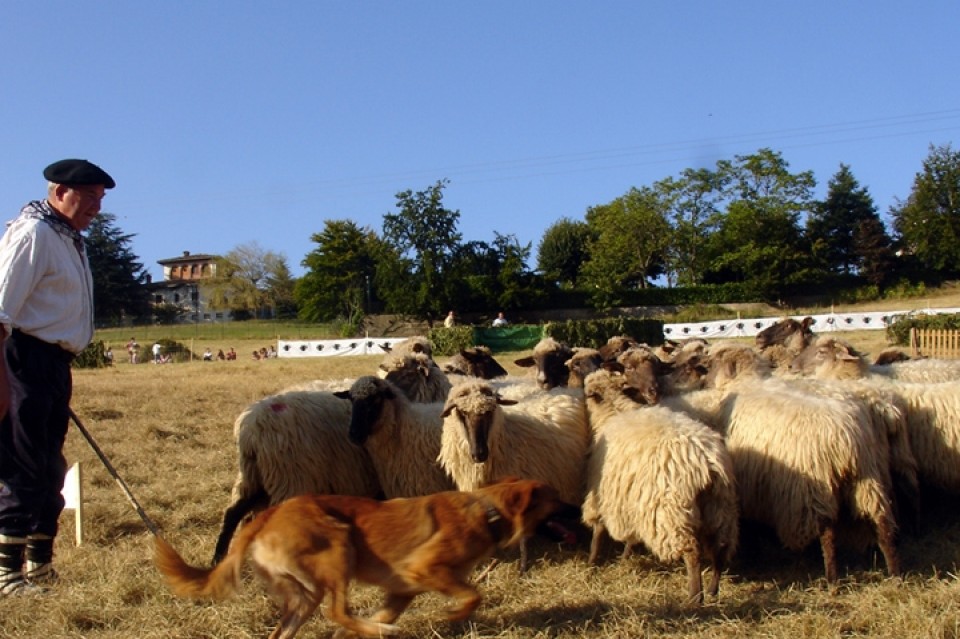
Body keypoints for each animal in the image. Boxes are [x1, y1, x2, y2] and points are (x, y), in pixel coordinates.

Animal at [155, 478, 580, 636]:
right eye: (557, 498)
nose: (580, 508)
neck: (486, 510)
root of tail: (268, 514)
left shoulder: (403, 589)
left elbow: (386, 610)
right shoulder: (424, 568)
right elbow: (474, 595)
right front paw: (452, 615)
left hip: (304, 594)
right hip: (339, 548)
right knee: (337, 611)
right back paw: (381, 631)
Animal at [580, 370, 740, 604]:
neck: (614, 410)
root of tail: (709, 463)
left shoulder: (603, 494)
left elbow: (598, 531)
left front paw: (592, 561)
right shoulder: (631, 499)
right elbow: (631, 535)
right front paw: (625, 556)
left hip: (674, 512)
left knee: (692, 552)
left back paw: (695, 597)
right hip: (720, 507)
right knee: (719, 547)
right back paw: (712, 590)